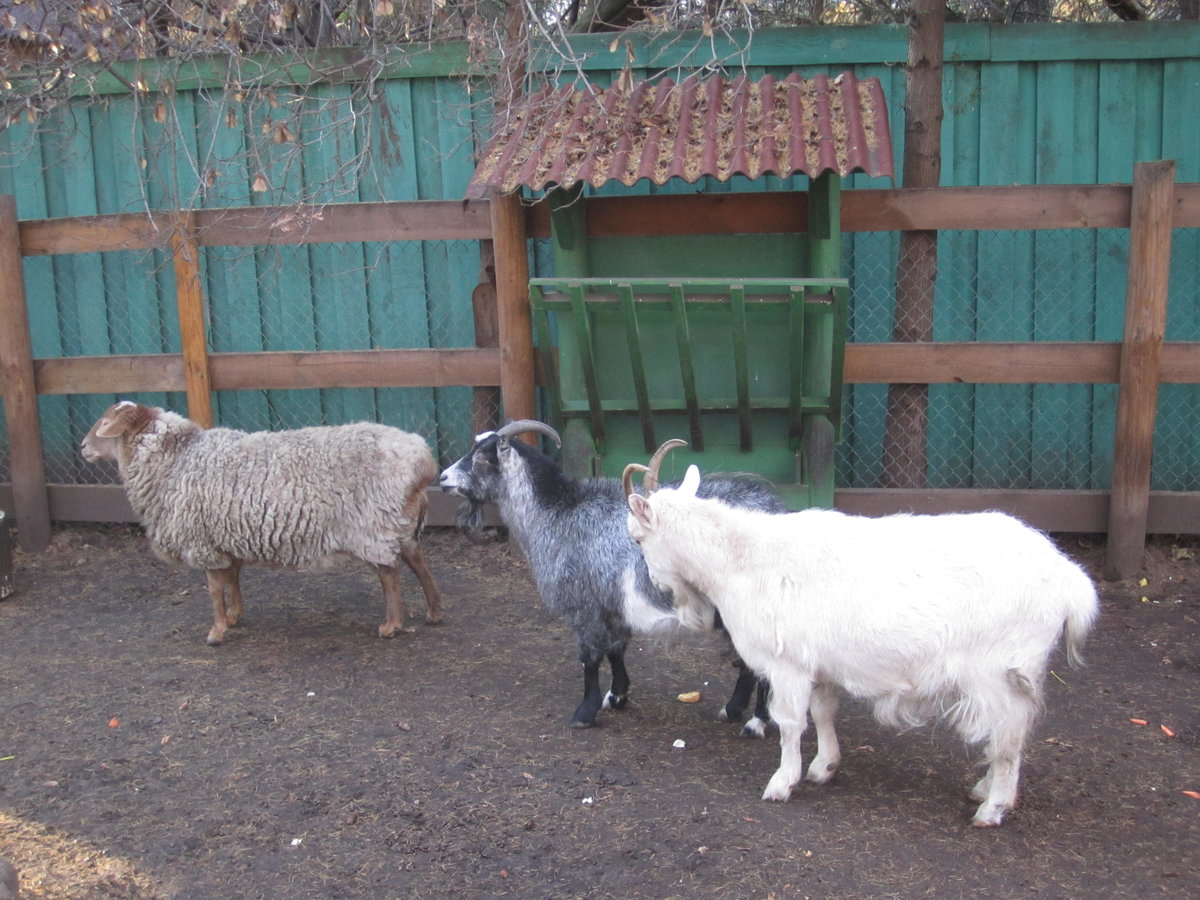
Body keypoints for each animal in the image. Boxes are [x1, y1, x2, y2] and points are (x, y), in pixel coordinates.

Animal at [82, 401, 442, 645]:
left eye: (105, 423)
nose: (83, 446)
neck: (176, 458)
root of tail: (422, 459)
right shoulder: (225, 538)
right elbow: (233, 579)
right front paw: (234, 616)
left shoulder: (202, 541)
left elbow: (214, 589)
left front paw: (216, 631)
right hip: (397, 522)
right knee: (418, 563)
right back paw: (434, 612)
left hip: (374, 526)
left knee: (389, 575)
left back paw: (391, 625)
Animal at [439, 422, 780, 730]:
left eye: (483, 457)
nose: (442, 478)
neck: (559, 514)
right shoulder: (611, 604)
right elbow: (616, 650)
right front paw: (617, 697)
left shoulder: (584, 606)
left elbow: (589, 658)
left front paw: (584, 713)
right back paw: (733, 709)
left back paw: (756, 721)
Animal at [624, 446, 1099, 826]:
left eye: (638, 538)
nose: (659, 585)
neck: (743, 558)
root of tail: (1068, 579)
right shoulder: (820, 663)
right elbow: (823, 712)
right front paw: (824, 767)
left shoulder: (787, 664)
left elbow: (790, 723)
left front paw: (782, 782)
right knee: (1011, 731)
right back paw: (986, 790)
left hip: (998, 670)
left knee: (1009, 733)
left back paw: (992, 807)